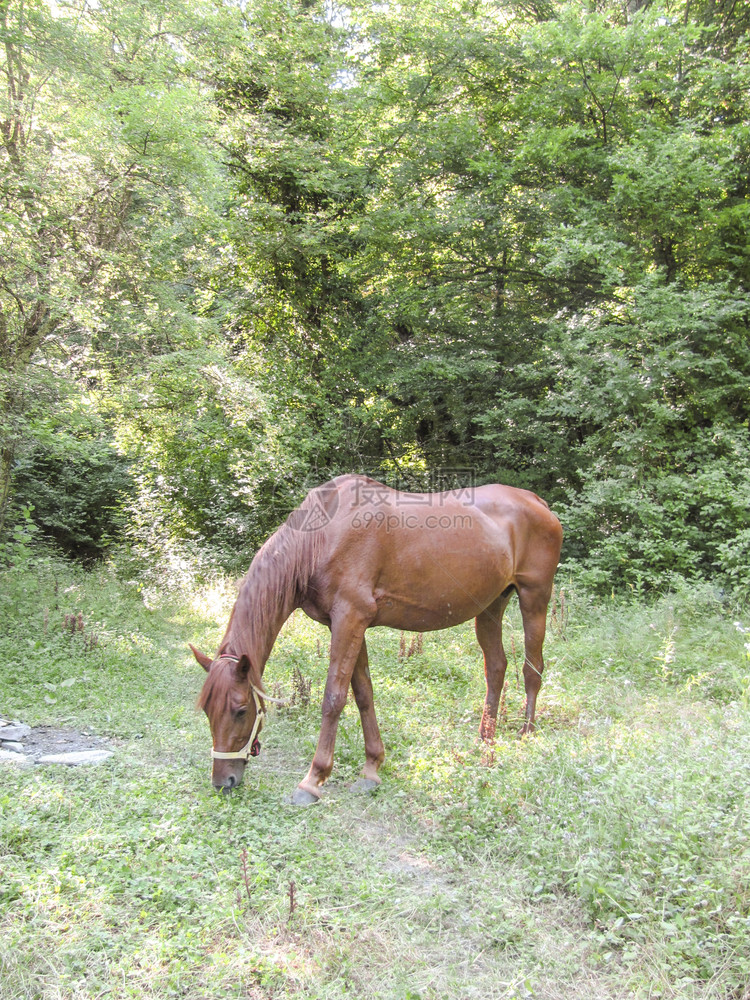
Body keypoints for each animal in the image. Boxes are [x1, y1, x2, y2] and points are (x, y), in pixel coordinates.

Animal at [191, 474, 560, 804]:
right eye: (207, 710)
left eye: (240, 710)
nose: (223, 782)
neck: (323, 537)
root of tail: (537, 502)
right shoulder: (347, 625)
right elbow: (363, 694)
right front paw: (372, 768)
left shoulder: (350, 618)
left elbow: (333, 699)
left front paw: (313, 780)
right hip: (490, 606)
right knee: (496, 668)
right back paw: (485, 739)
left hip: (534, 599)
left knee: (532, 668)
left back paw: (526, 734)